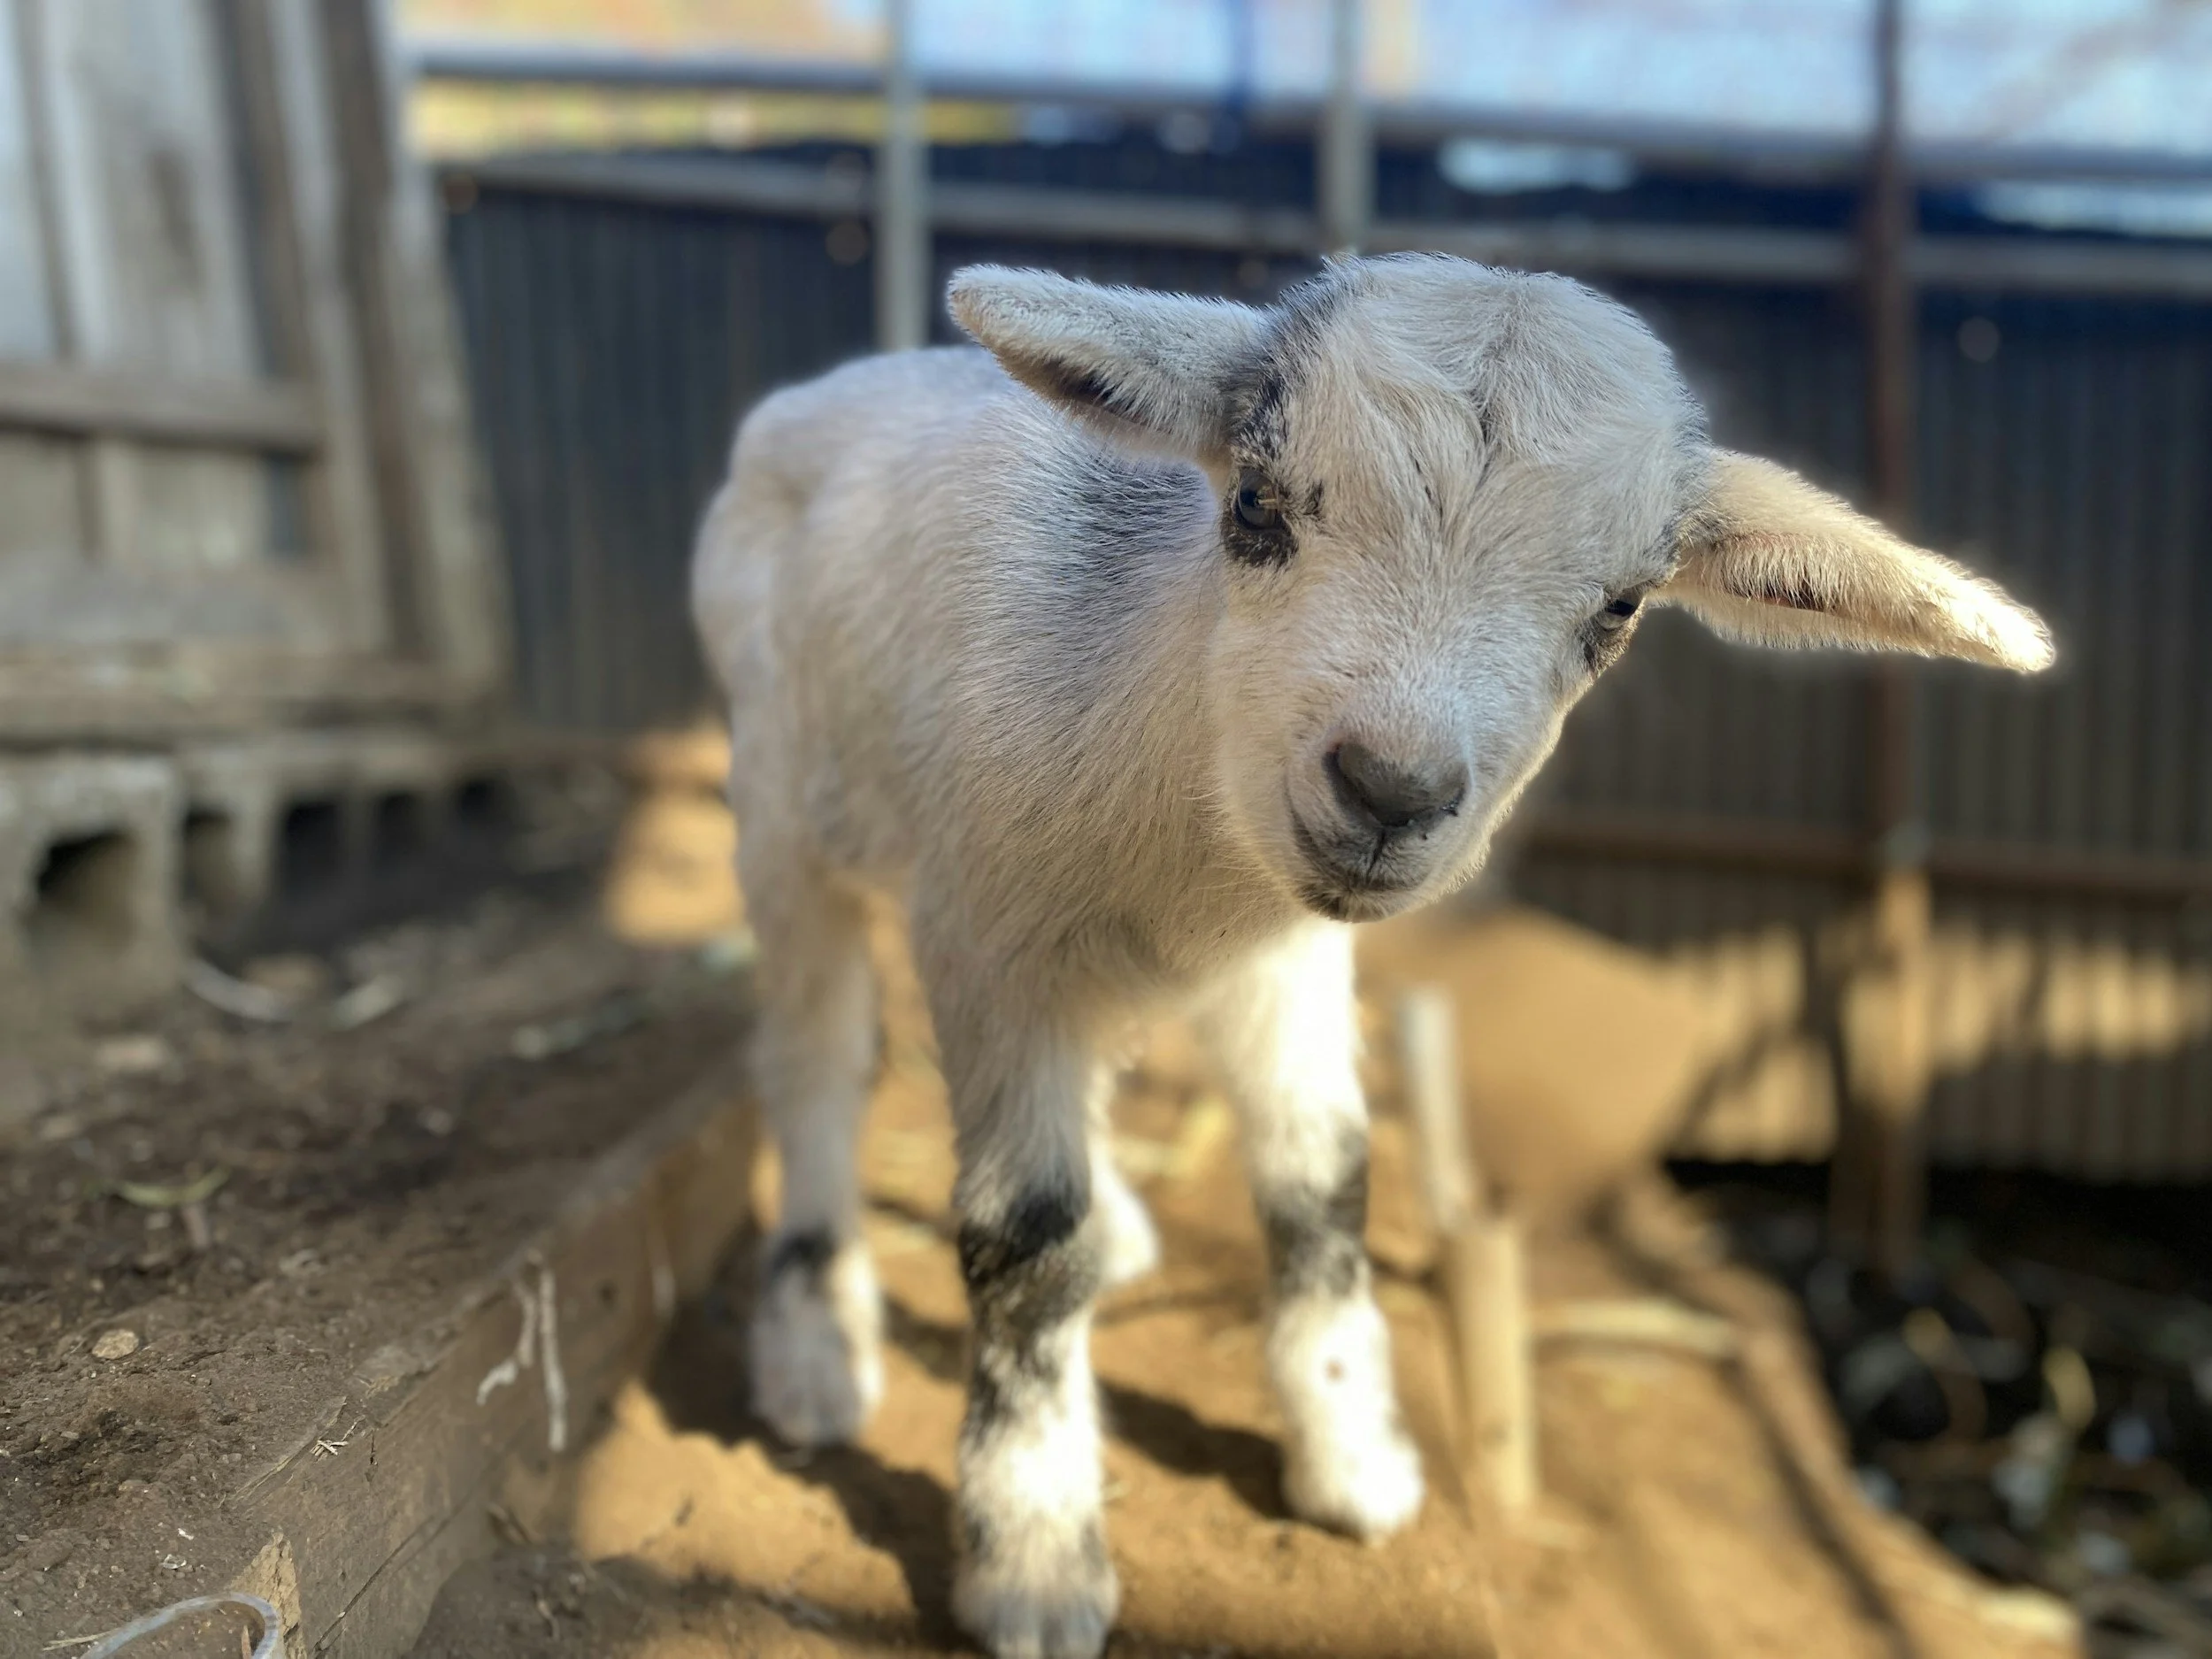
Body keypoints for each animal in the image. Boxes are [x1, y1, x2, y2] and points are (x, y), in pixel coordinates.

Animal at [690, 254, 2052, 1659]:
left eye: (1620, 607)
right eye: (1255, 502)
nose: (1391, 791)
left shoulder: (1282, 961)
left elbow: (1325, 1180)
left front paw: (1355, 1457)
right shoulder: (992, 940)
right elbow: (1024, 1235)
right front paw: (1037, 1557)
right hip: (782, 805)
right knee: (814, 1062)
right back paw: (813, 1343)